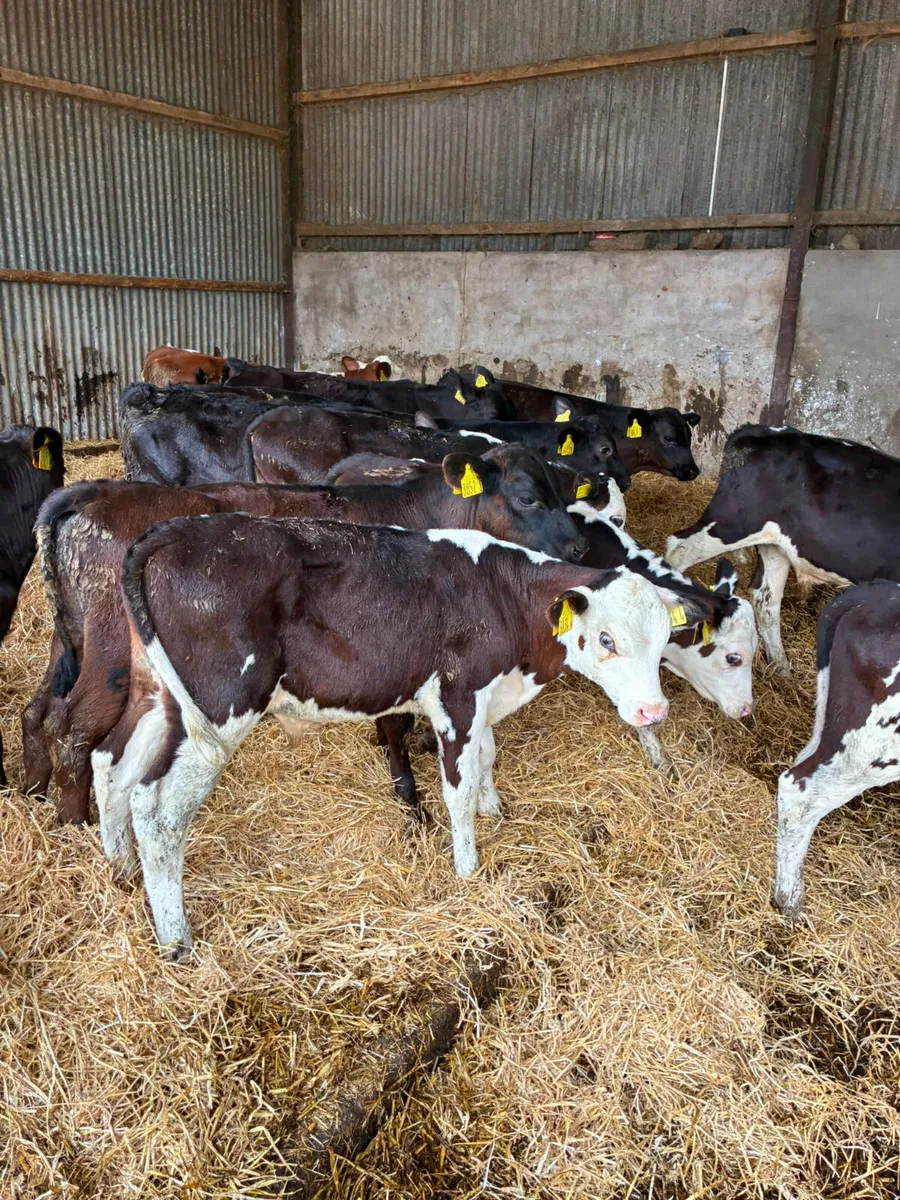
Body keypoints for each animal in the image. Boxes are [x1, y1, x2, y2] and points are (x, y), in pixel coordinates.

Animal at [23, 446, 586, 823]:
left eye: (564, 495)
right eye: (528, 497)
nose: (578, 548)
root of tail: (95, 492)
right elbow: (396, 724)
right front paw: (409, 795)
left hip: (71, 638)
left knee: (40, 710)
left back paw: (33, 789)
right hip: (114, 653)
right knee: (72, 726)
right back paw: (76, 822)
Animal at [91, 514, 707, 956]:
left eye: (662, 642)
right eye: (606, 639)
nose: (652, 710)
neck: (505, 600)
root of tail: (175, 530)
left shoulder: (483, 700)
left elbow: (487, 756)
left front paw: (494, 810)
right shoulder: (456, 696)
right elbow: (457, 787)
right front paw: (467, 870)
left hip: (156, 696)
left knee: (111, 765)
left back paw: (119, 870)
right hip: (218, 709)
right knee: (159, 811)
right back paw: (176, 939)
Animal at [665, 426, 900, 674]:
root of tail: (755, 431)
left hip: (774, 544)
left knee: (765, 598)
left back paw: (780, 664)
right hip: (733, 522)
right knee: (679, 548)